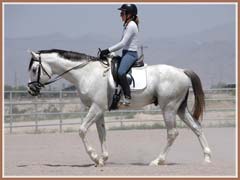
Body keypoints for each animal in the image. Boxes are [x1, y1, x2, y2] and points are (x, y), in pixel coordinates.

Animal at [27, 48, 211, 166]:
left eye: (35, 69)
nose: (31, 90)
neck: (86, 73)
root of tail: (182, 71)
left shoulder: (96, 108)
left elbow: (82, 130)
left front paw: (94, 157)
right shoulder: (99, 110)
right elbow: (102, 134)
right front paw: (103, 159)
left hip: (169, 109)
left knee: (172, 133)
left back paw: (157, 161)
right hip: (180, 108)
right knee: (196, 127)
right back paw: (207, 158)